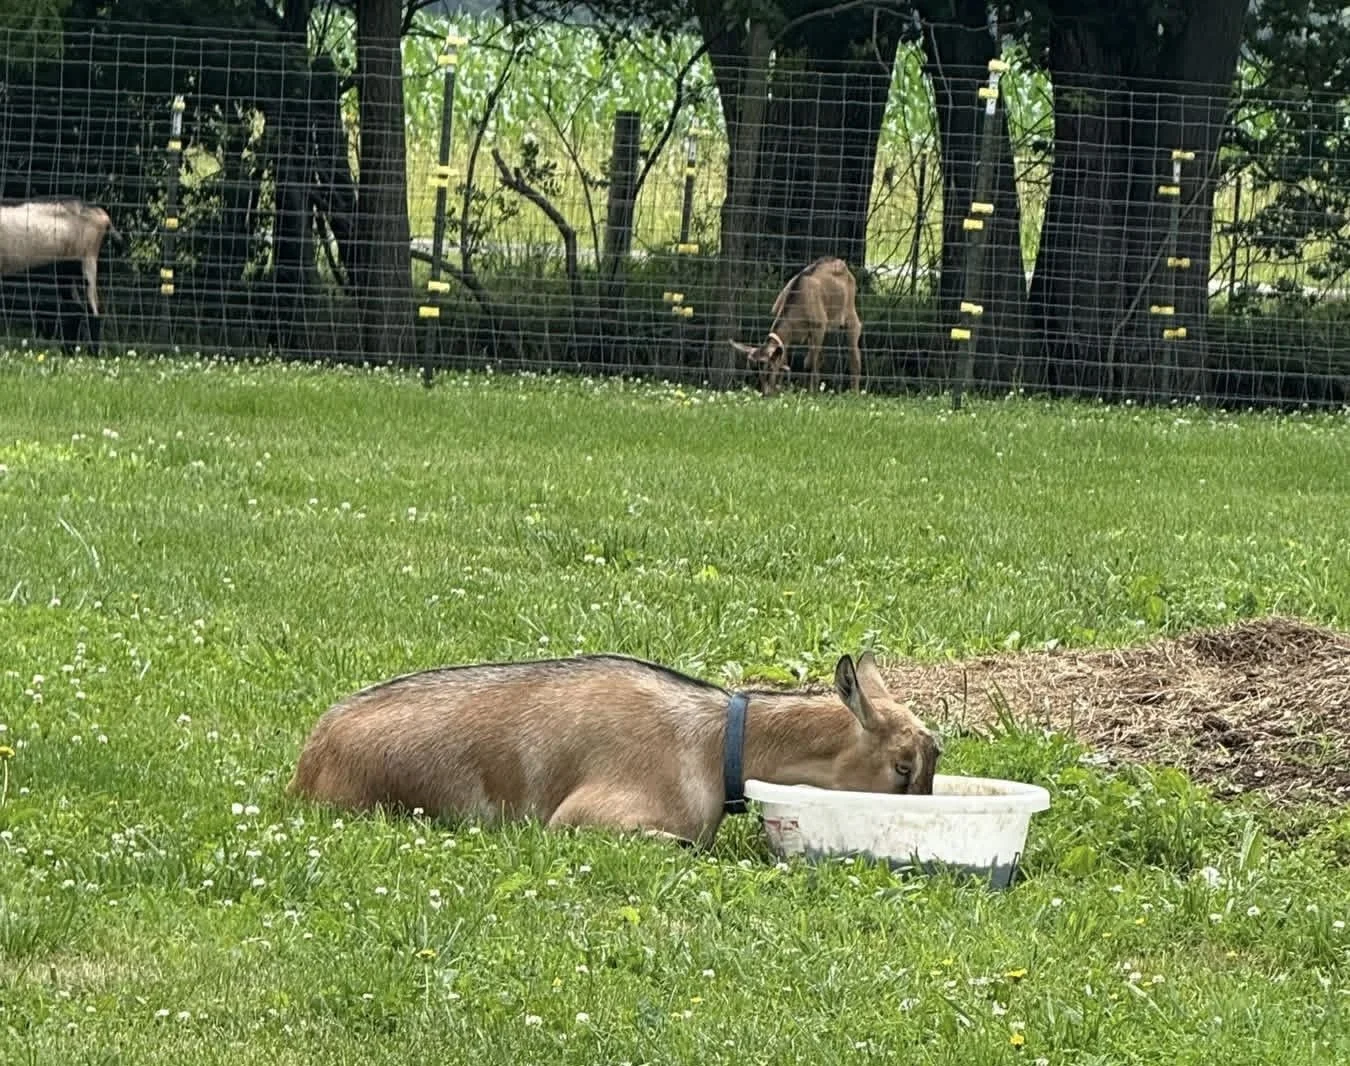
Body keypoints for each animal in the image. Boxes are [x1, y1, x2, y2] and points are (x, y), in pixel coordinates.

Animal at [0, 197, 122, 354]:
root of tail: (102, 217)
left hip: (87, 261)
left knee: (94, 310)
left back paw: (92, 353)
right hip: (65, 271)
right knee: (75, 310)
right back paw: (68, 351)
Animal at [730, 255, 863, 397]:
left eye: (769, 368)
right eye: (755, 372)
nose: (766, 394)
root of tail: (840, 262)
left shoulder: (818, 328)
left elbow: (810, 362)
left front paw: (812, 392)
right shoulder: (789, 338)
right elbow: (786, 361)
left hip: (850, 314)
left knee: (854, 354)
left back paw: (854, 392)